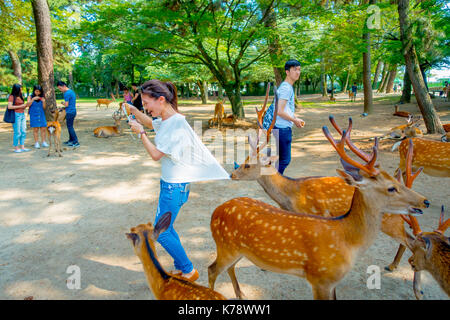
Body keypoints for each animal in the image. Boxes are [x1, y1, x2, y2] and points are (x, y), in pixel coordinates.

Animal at [209, 120, 430, 300]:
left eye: (247, 165)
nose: (231, 175)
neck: (291, 195)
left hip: (391, 220)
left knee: (413, 240)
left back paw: (415, 286)